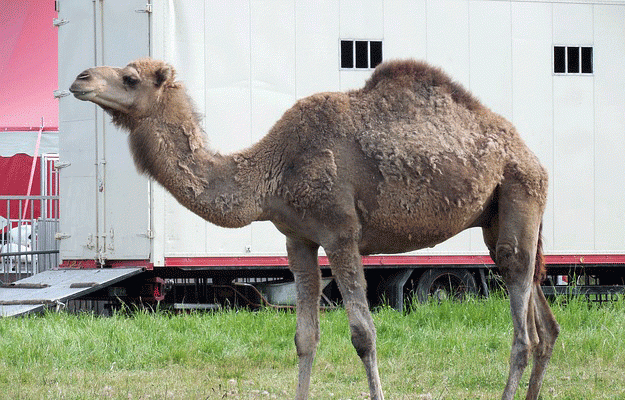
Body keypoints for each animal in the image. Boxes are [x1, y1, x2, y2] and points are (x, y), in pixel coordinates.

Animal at [70, 57, 560, 398]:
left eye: (130, 78)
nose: (80, 79)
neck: (272, 170)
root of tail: (529, 154)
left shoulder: (340, 233)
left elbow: (363, 334)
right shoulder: (298, 238)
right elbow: (305, 336)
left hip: (518, 190)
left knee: (524, 331)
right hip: (500, 217)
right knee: (544, 322)